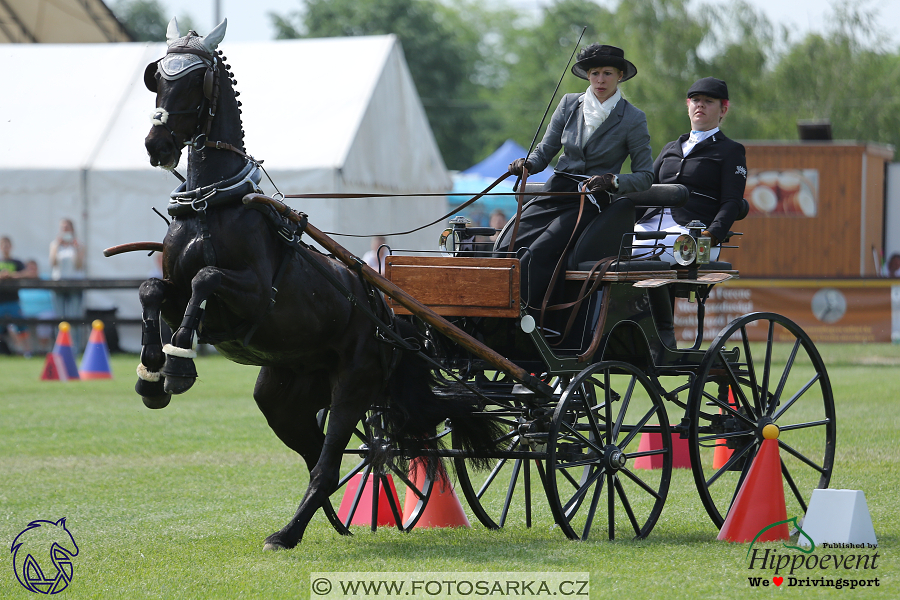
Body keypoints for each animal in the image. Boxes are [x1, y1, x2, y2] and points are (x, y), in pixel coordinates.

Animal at [137, 18, 496, 552]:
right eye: (158, 77)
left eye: (195, 81)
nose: (155, 145)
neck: (209, 205)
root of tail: (391, 323)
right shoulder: (173, 287)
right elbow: (153, 291)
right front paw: (151, 372)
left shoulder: (251, 296)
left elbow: (206, 278)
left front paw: (178, 365)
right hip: (283, 398)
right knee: (318, 461)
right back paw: (316, 525)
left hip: (352, 387)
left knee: (328, 465)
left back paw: (287, 534)